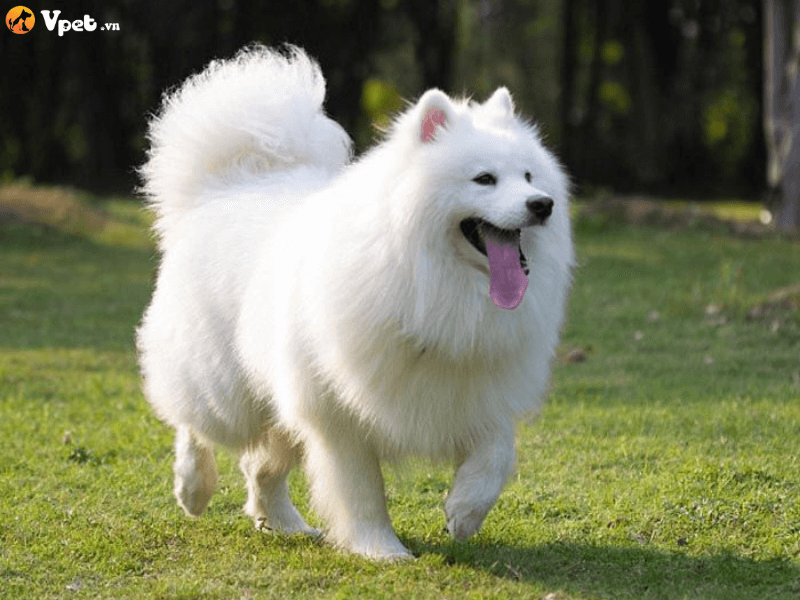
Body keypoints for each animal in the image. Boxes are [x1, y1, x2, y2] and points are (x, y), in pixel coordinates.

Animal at [139, 44, 576, 560]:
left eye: (529, 176)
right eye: (484, 179)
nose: (542, 204)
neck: (433, 284)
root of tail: (225, 187)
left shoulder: (475, 388)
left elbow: (497, 453)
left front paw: (465, 511)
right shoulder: (338, 411)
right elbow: (362, 490)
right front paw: (382, 550)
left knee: (260, 468)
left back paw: (285, 525)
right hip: (227, 390)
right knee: (193, 425)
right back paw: (193, 488)